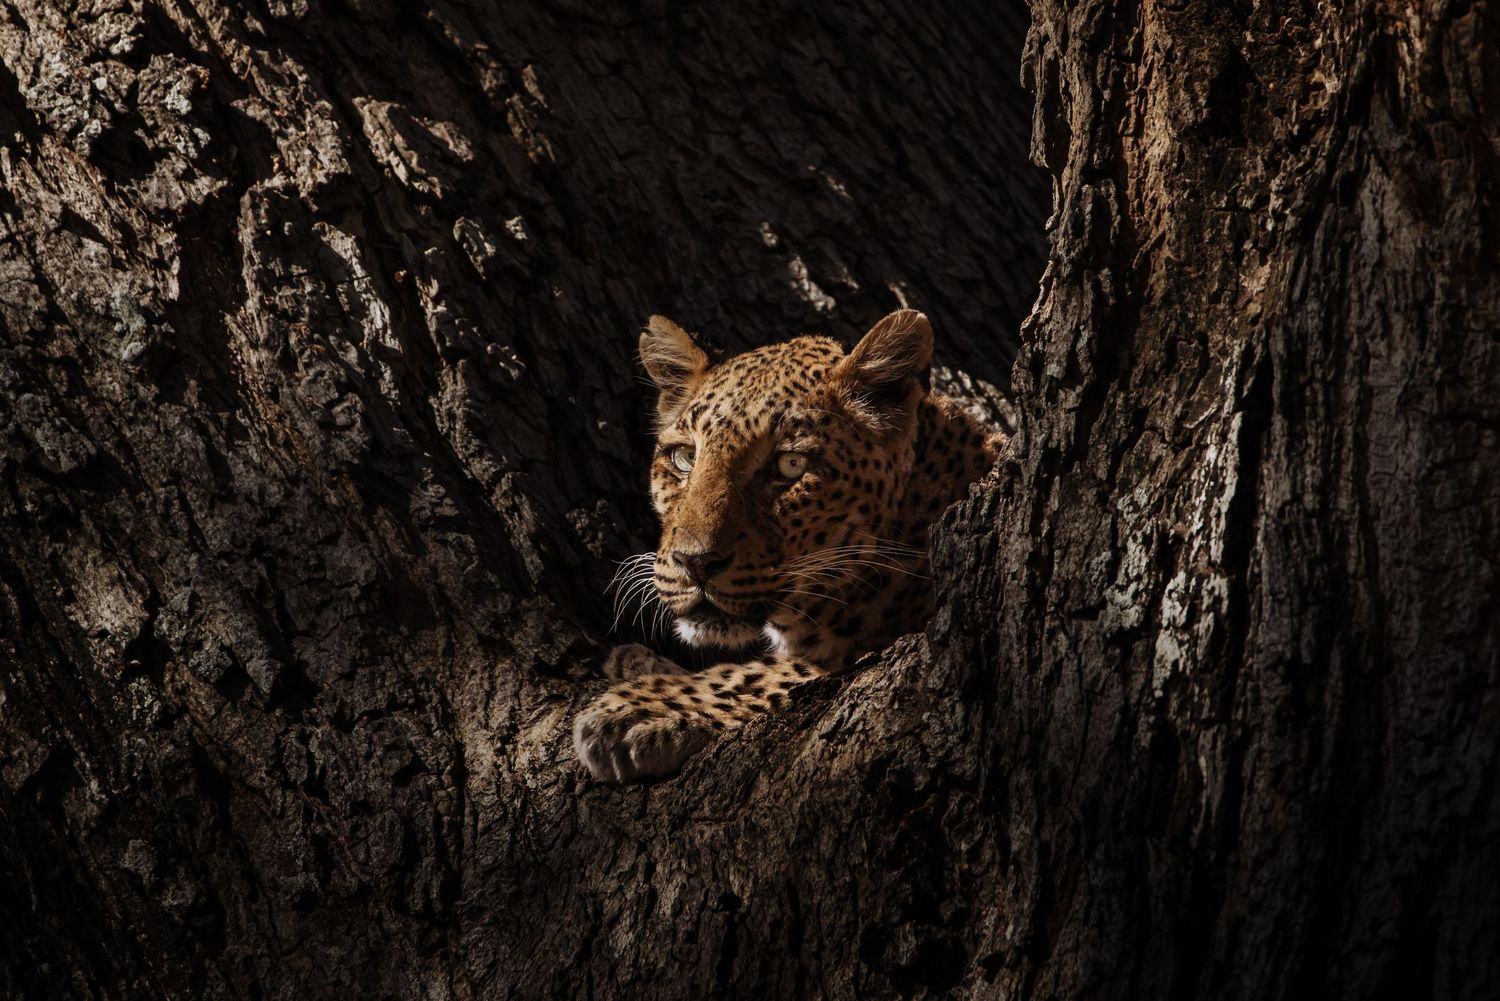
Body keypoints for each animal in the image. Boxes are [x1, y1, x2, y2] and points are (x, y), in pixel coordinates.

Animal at [573, 308, 1001, 783]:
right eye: (684, 458)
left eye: (790, 465)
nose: (694, 562)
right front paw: (637, 664)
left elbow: (772, 675)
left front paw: (640, 709)